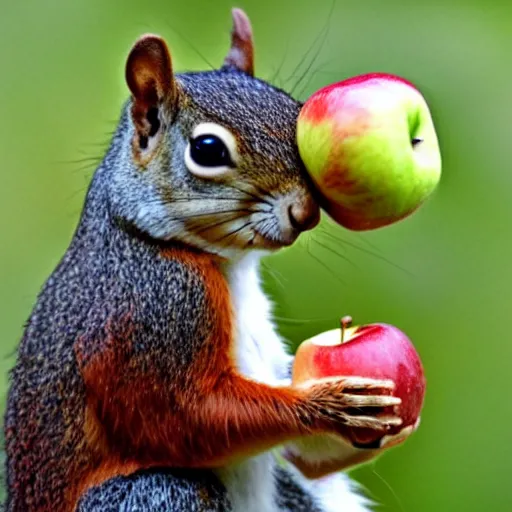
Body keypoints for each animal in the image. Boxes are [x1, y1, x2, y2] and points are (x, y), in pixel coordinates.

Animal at [4, 8, 404, 512]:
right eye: (207, 150)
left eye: (299, 117)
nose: (306, 213)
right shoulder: (153, 313)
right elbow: (184, 416)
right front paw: (329, 405)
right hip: (155, 494)